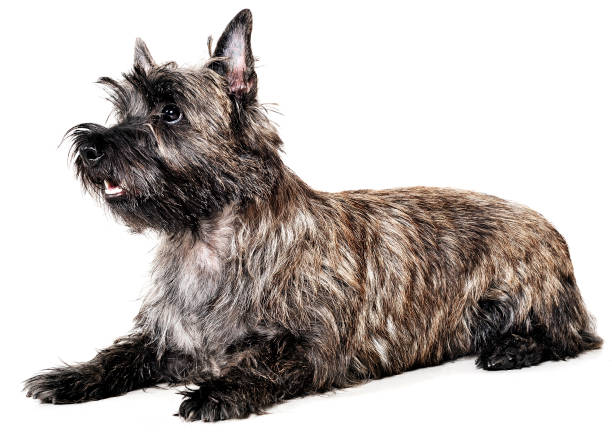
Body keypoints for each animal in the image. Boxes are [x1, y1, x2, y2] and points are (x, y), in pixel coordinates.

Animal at [25, 9, 604, 422]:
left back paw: (511, 350)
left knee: (572, 337)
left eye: (170, 112)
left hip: (526, 299)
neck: (209, 239)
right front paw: (71, 377)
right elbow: (120, 355)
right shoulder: (168, 338)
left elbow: (265, 360)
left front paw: (218, 391)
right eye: (121, 110)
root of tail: (548, 225)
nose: (91, 147)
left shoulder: (315, 349)